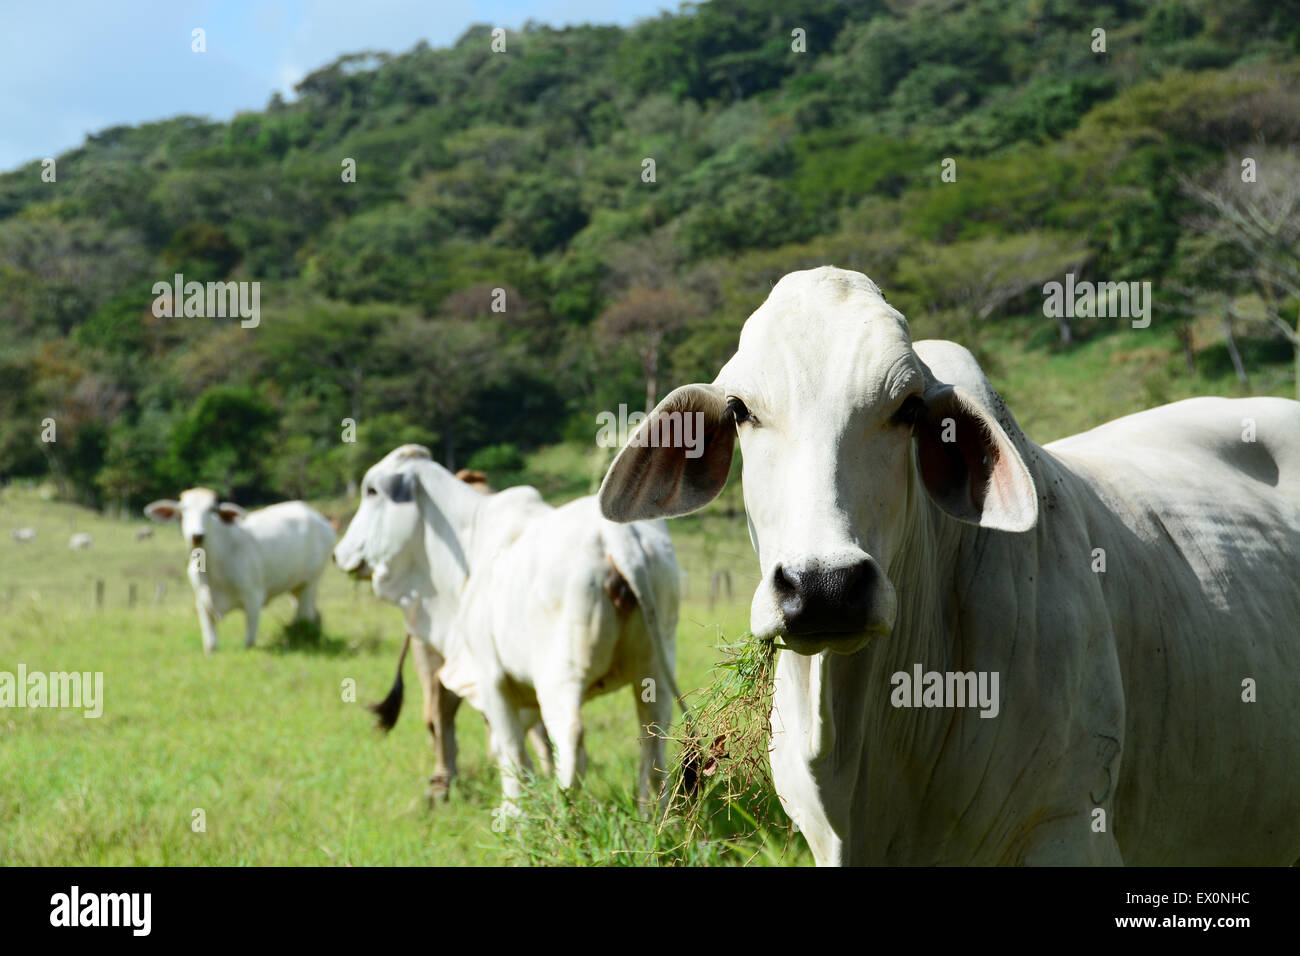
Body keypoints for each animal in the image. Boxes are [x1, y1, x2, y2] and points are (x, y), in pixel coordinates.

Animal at [144, 488, 335, 654]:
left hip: (310, 582)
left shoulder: (253, 598)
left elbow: (249, 642)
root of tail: (318, 518)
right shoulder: (202, 602)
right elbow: (211, 644)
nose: (197, 535)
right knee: (312, 614)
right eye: (183, 510)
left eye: (212, 509)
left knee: (304, 616)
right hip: (296, 587)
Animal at [334, 444, 684, 811]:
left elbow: (510, 750)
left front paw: (514, 812)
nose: (338, 553)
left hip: (560, 676)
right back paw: (653, 816)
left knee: (571, 740)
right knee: (653, 739)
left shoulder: (490, 677)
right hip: (653, 670)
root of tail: (618, 538)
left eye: (371, 491)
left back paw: (561, 816)